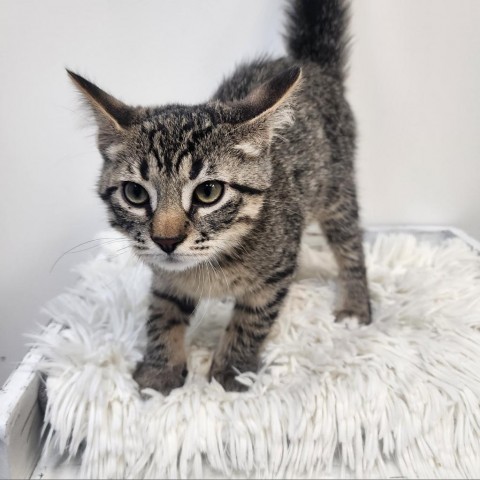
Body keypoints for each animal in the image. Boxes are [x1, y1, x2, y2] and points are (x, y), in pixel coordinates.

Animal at [66, 0, 372, 394]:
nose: (166, 240)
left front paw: (232, 368)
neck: (212, 264)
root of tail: (310, 64)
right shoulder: (165, 277)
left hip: (335, 188)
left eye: (208, 192)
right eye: (135, 193)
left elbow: (252, 319)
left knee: (350, 242)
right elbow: (161, 314)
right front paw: (160, 369)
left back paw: (356, 305)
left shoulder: (276, 270)